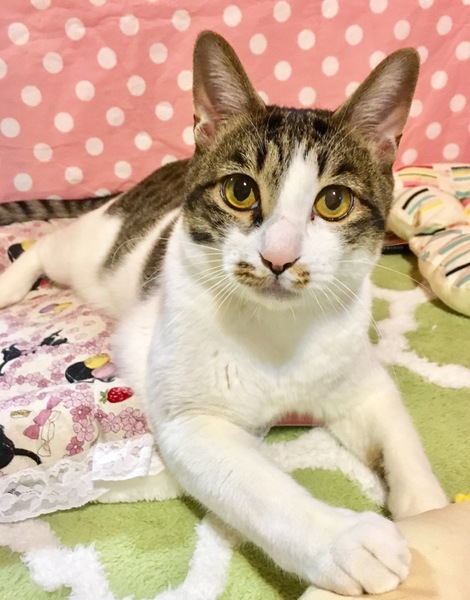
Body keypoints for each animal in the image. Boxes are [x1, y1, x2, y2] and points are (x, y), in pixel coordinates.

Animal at [0, 31, 448, 595]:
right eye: (240, 191)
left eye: (334, 201)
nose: (279, 258)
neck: (279, 332)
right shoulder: (191, 422)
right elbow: (263, 491)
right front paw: (347, 542)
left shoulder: (358, 378)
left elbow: (400, 437)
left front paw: (431, 512)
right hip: (96, 253)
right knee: (46, 244)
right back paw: (10, 282)